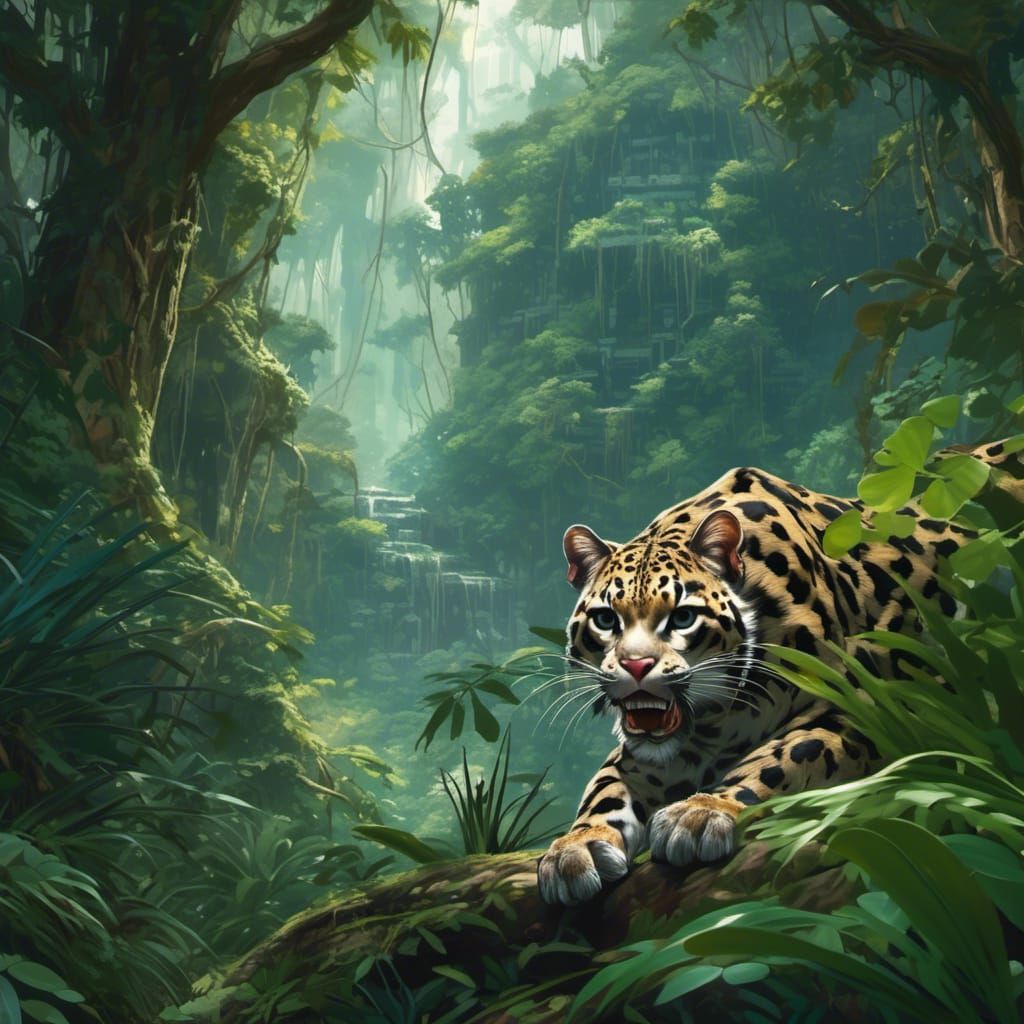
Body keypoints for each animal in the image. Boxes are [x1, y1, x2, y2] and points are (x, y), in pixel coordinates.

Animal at [537, 438, 1023, 906]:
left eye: (682, 617)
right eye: (606, 620)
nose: (636, 666)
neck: (713, 722)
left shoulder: (854, 711)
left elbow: (781, 757)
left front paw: (703, 811)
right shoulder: (641, 755)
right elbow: (604, 789)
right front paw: (575, 848)